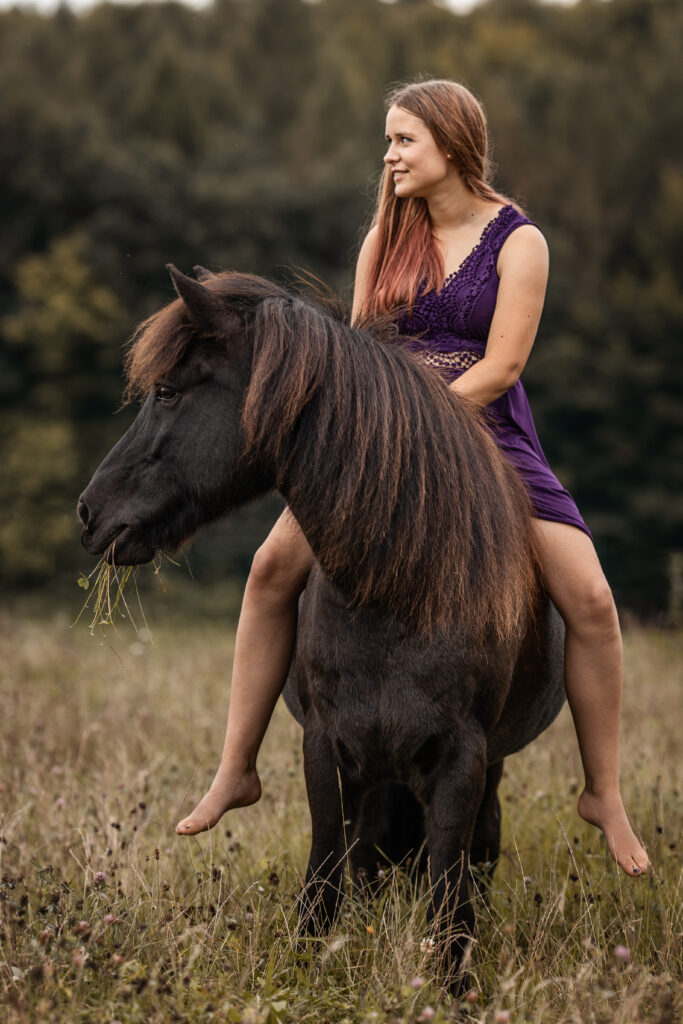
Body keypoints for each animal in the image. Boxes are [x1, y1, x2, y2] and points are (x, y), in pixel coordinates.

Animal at [78, 266, 565, 991]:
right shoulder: (325, 748)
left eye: (167, 391)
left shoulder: (463, 758)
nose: (89, 512)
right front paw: (310, 968)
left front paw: (452, 987)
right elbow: (327, 869)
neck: (396, 591)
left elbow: (449, 884)